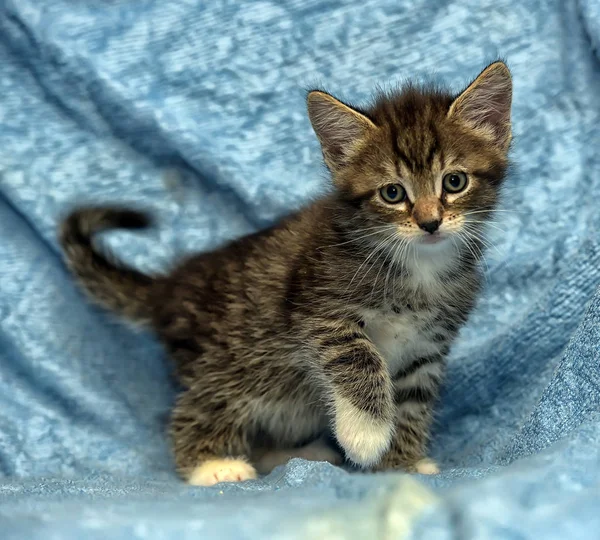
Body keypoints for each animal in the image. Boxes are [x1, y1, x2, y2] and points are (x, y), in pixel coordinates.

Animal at [59, 62, 510, 486]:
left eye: (454, 181)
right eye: (393, 193)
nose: (430, 222)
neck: (418, 267)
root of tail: (169, 288)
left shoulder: (427, 346)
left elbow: (412, 402)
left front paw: (400, 463)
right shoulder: (316, 306)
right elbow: (358, 355)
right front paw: (366, 434)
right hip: (230, 359)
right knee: (200, 403)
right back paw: (211, 464)